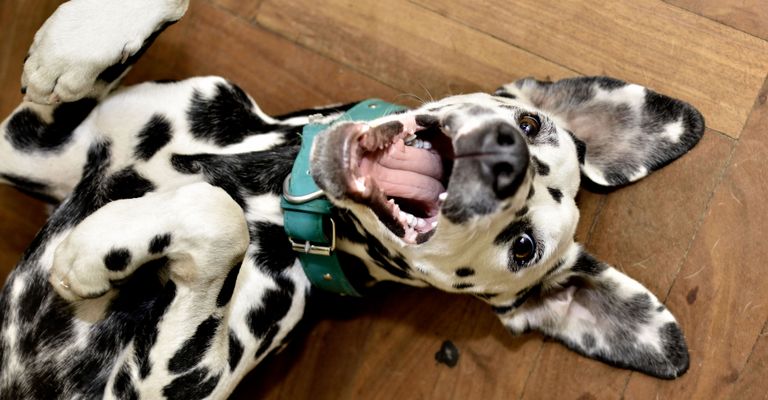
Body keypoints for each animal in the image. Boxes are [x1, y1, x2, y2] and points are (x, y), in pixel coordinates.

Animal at [0, 1, 704, 398]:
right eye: (532, 126)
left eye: (524, 247)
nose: (509, 156)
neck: (262, 178)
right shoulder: (26, 140)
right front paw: (79, 40)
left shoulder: (165, 385)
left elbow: (216, 215)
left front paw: (92, 251)